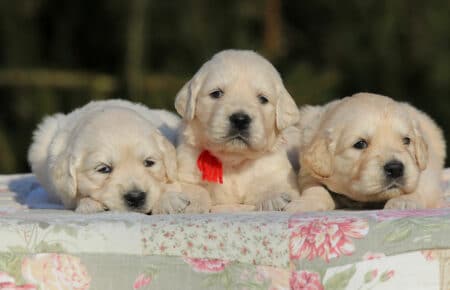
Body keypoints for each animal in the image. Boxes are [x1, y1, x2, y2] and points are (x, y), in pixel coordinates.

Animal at [173, 49, 302, 213]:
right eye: (216, 93)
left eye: (263, 99)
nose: (240, 119)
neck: (234, 161)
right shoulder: (185, 172)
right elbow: (193, 188)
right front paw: (192, 204)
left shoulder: (278, 172)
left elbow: (275, 185)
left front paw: (274, 198)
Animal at [288, 93, 446, 211]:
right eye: (360, 144)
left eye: (406, 140)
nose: (395, 169)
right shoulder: (308, 169)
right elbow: (314, 188)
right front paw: (304, 204)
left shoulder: (426, 172)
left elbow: (419, 187)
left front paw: (403, 201)